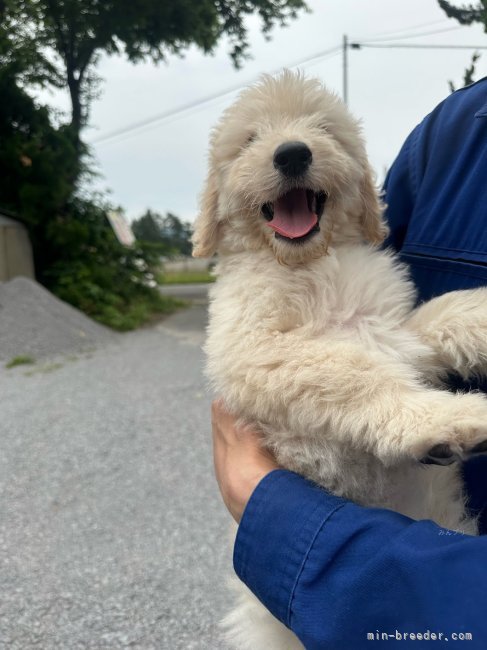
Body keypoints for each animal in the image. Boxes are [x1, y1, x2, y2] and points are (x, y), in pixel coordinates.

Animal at [193, 71, 487, 648]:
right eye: (250, 138)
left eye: (324, 128)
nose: (292, 152)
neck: (311, 264)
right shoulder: (254, 352)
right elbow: (352, 374)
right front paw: (452, 418)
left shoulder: (392, 330)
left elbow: (444, 315)